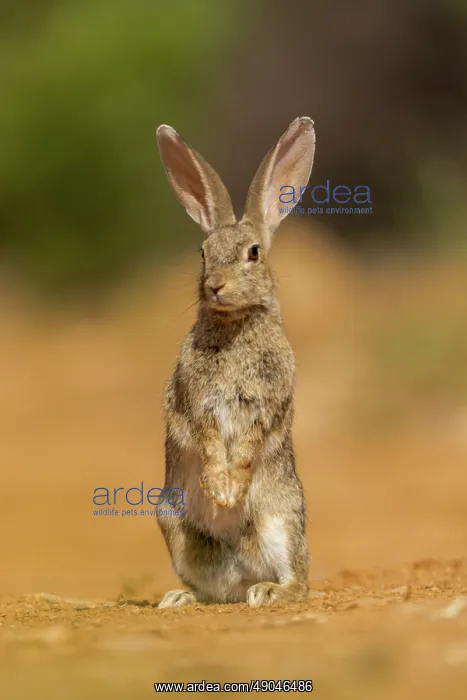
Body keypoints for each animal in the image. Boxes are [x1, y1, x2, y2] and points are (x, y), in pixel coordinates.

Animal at [155, 117, 316, 608]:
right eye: (203, 253)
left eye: (254, 253)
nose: (215, 286)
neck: (234, 324)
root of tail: (242, 575)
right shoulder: (196, 401)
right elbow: (207, 441)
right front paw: (220, 491)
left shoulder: (267, 401)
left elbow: (247, 445)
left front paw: (229, 492)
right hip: (174, 525)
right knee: (211, 589)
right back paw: (180, 599)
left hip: (281, 518)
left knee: (298, 579)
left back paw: (269, 592)